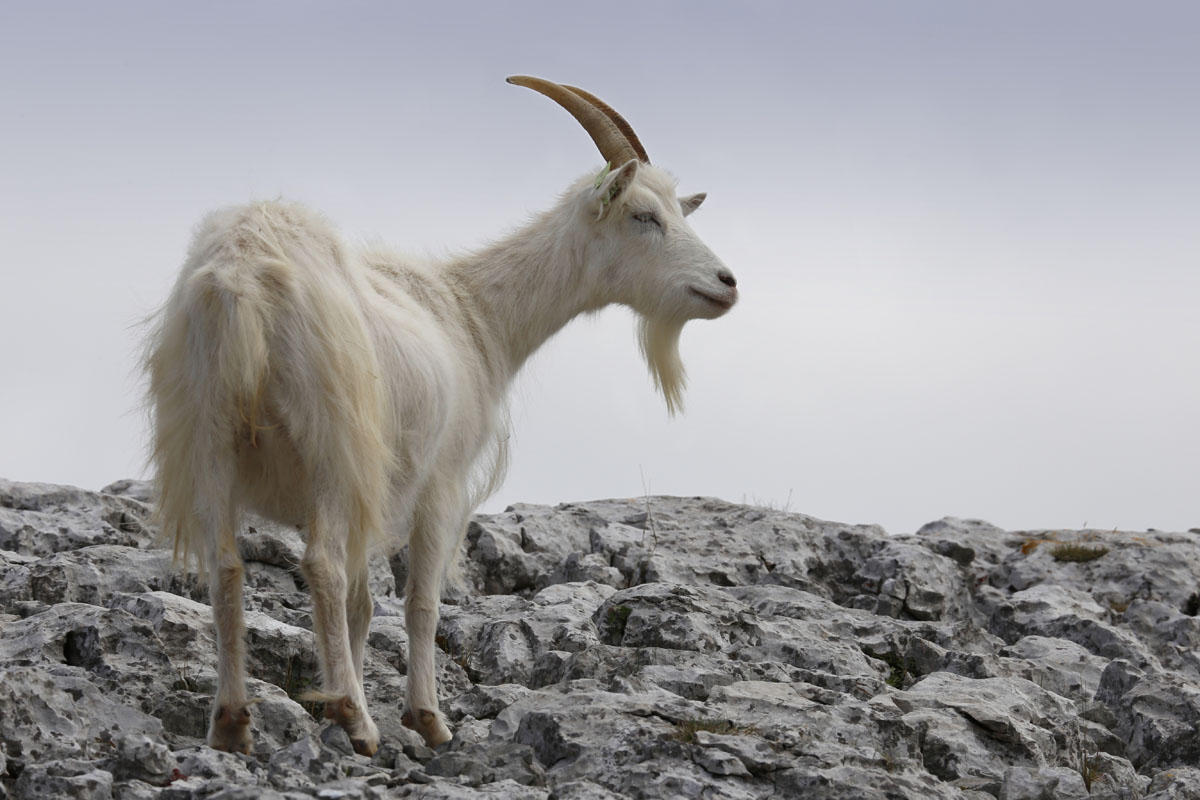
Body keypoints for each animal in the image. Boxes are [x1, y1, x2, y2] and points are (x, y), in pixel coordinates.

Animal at [145, 76, 734, 758]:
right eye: (643, 216)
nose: (727, 283)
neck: (473, 311)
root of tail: (240, 277)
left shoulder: (374, 491)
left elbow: (362, 603)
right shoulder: (439, 480)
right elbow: (420, 602)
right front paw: (425, 718)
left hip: (208, 437)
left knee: (227, 567)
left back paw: (232, 721)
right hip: (331, 443)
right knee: (320, 564)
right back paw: (355, 719)